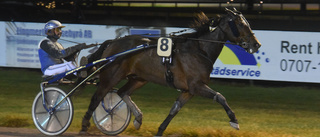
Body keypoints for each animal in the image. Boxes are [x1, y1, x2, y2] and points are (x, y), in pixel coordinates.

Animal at [80, 7, 260, 136]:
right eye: (241, 24)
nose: (256, 44)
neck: (199, 49)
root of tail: (113, 42)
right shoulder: (196, 86)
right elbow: (220, 97)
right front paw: (234, 120)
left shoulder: (188, 90)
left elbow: (174, 109)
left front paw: (160, 131)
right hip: (111, 76)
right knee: (97, 97)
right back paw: (85, 126)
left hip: (139, 78)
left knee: (122, 92)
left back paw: (138, 118)